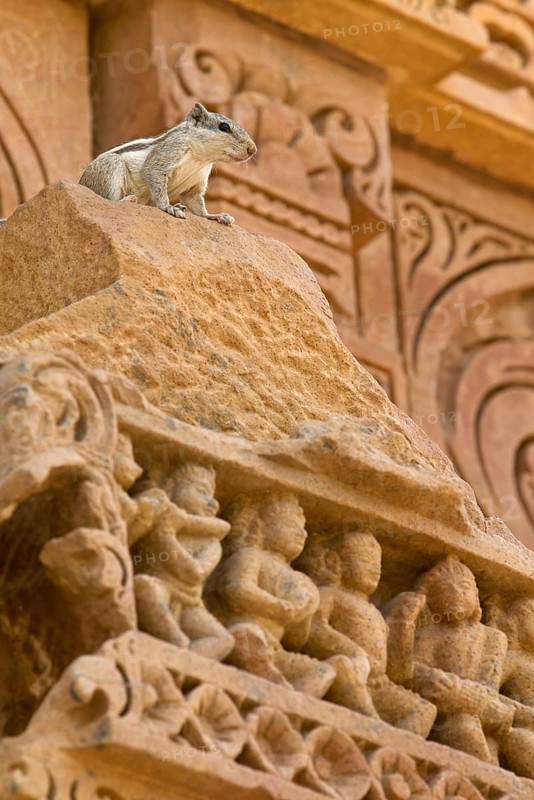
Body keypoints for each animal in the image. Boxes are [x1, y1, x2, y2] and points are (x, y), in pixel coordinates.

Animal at [79, 102, 256, 225]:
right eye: (224, 127)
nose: (253, 149)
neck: (201, 158)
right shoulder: (166, 155)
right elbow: (154, 177)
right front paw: (168, 207)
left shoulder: (196, 183)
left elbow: (196, 205)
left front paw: (215, 215)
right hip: (111, 165)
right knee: (107, 199)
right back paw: (126, 200)